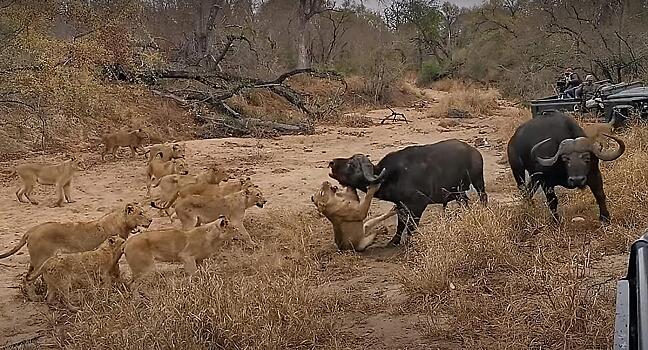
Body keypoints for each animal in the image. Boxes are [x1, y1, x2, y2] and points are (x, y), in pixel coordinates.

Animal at [0, 202, 151, 298]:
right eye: (141, 213)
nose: (151, 220)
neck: (122, 223)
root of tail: (31, 230)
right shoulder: (114, 255)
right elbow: (116, 273)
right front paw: (120, 286)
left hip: (35, 261)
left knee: (26, 277)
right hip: (40, 260)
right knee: (29, 279)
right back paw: (34, 298)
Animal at [330, 138, 486, 245]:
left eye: (351, 164)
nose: (331, 162)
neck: (392, 176)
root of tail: (474, 151)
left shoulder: (419, 205)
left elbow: (411, 225)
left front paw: (407, 242)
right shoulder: (400, 205)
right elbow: (401, 224)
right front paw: (394, 241)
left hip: (478, 182)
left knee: (483, 197)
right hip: (459, 192)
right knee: (465, 203)